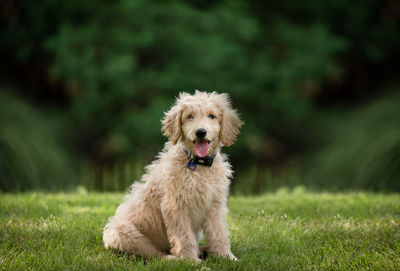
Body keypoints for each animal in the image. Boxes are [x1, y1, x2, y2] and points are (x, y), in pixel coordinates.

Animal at [101, 91, 242, 264]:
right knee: (155, 255)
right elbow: (184, 237)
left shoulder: (214, 205)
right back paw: (177, 258)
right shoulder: (176, 206)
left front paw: (226, 257)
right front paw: (191, 261)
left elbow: (219, 233)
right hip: (123, 233)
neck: (199, 165)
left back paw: (204, 249)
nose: (200, 132)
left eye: (212, 116)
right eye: (190, 116)